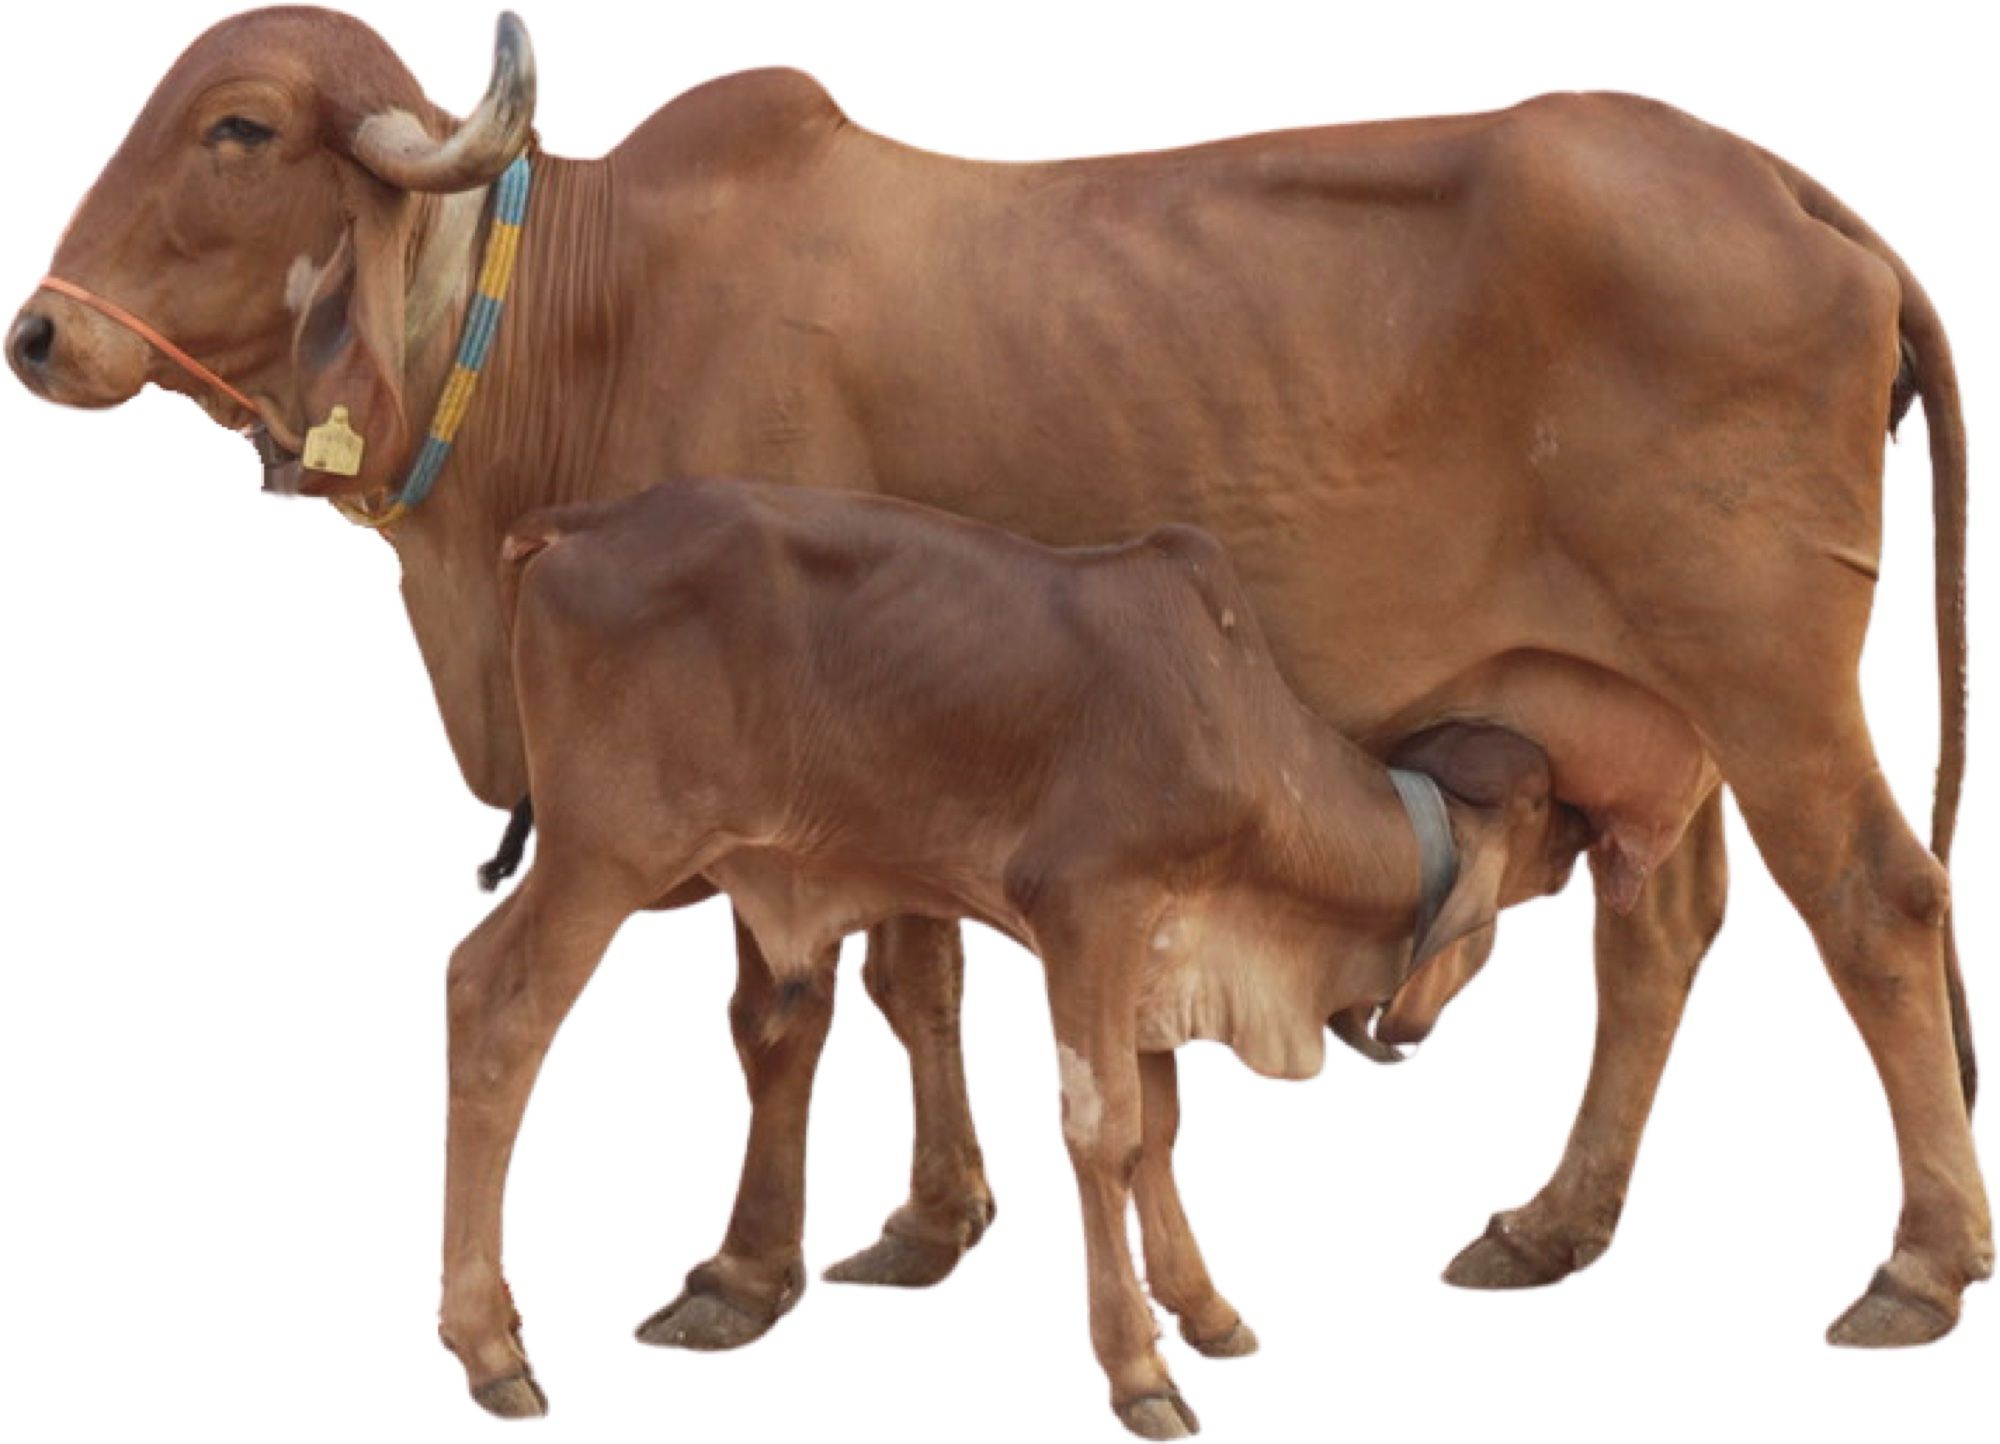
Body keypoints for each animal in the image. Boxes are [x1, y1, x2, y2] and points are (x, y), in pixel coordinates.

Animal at [460, 475, 1594, 1434]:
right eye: (1545, 808)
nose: (1591, 833)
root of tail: (580, 520)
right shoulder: (1088, 914)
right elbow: (1105, 1131)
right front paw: (1138, 1368)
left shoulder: (1157, 950)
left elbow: (1161, 1127)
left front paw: (1204, 1306)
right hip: (605, 855)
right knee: (492, 1005)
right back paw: (489, 1348)